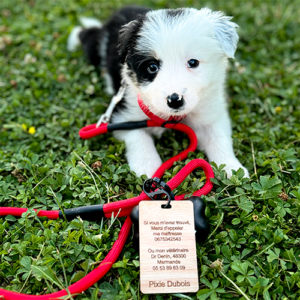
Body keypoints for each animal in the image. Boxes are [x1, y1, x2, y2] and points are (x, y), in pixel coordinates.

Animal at [67, 5, 248, 178]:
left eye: (193, 62)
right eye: (152, 67)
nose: (175, 100)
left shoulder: (211, 113)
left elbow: (218, 137)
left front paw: (232, 167)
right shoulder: (122, 114)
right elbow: (138, 135)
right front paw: (147, 166)